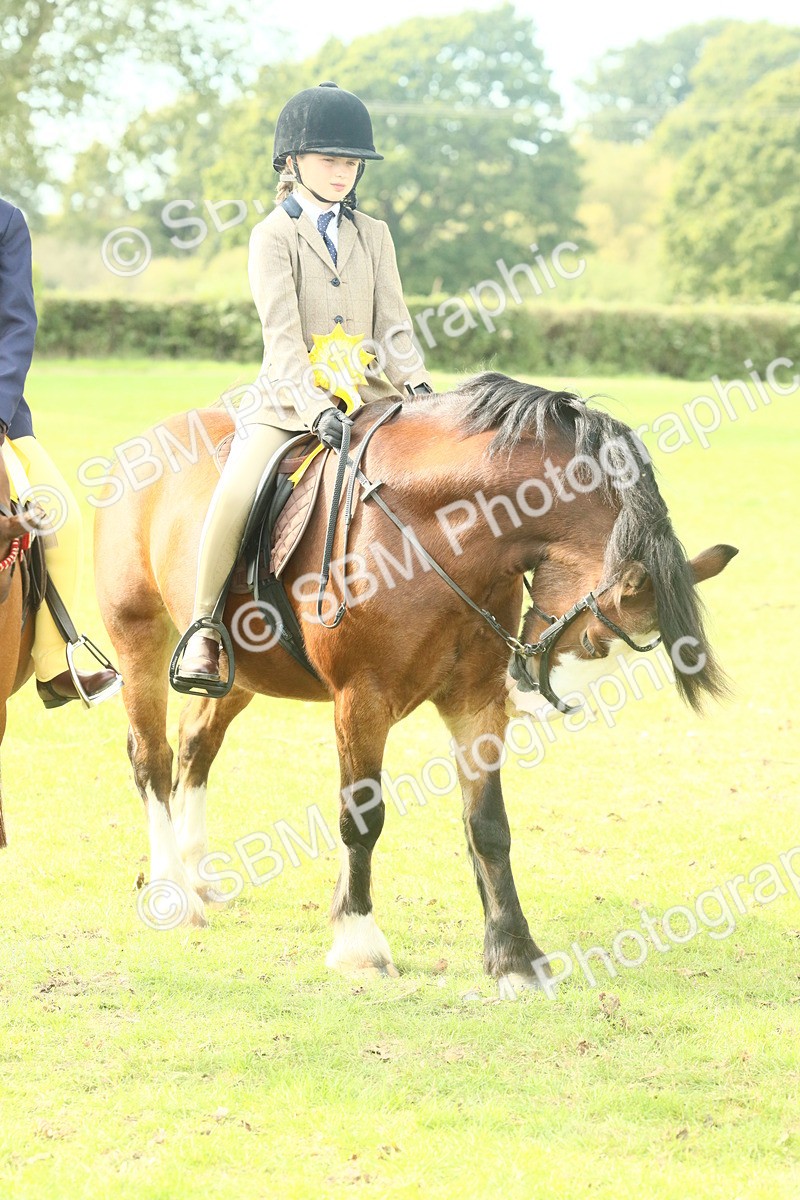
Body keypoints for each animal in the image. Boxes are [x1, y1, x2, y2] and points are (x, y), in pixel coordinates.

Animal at [94, 372, 737, 992]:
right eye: (597, 641)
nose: (538, 701)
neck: (441, 531)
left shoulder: (477, 702)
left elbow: (488, 825)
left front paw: (515, 956)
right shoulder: (362, 699)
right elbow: (362, 817)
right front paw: (359, 947)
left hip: (243, 673)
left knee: (197, 744)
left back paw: (198, 877)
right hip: (139, 641)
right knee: (152, 758)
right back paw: (174, 895)